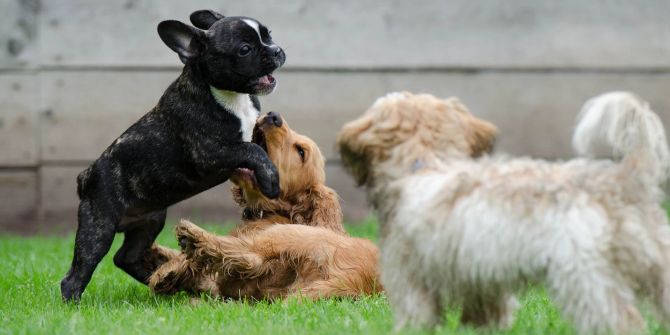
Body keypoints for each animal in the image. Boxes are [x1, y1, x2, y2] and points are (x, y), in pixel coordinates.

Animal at [59, 9, 286, 304]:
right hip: (98, 228)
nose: (277, 49)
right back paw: (74, 304)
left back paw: (161, 281)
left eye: (268, 35)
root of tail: (86, 176)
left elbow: (260, 145)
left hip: (150, 221)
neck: (229, 95)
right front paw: (270, 180)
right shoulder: (211, 153)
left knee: (126, 257)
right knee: (78, 272)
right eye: (244, 49)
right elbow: (251, 150)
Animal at [148, 112, 384, 300]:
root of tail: (354, 279)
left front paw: (167, 269)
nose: (273, 115)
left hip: (289, 235)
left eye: (301, 152)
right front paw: (158, 254)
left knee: (248, 256)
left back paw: (191, 238)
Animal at [338, 90, 670, 334]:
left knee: (621, 322)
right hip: (658, 269)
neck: (426, 163)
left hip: (586, 279)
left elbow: (416, 319)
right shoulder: (482, 285)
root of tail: (623, 179)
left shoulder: (411, 281)